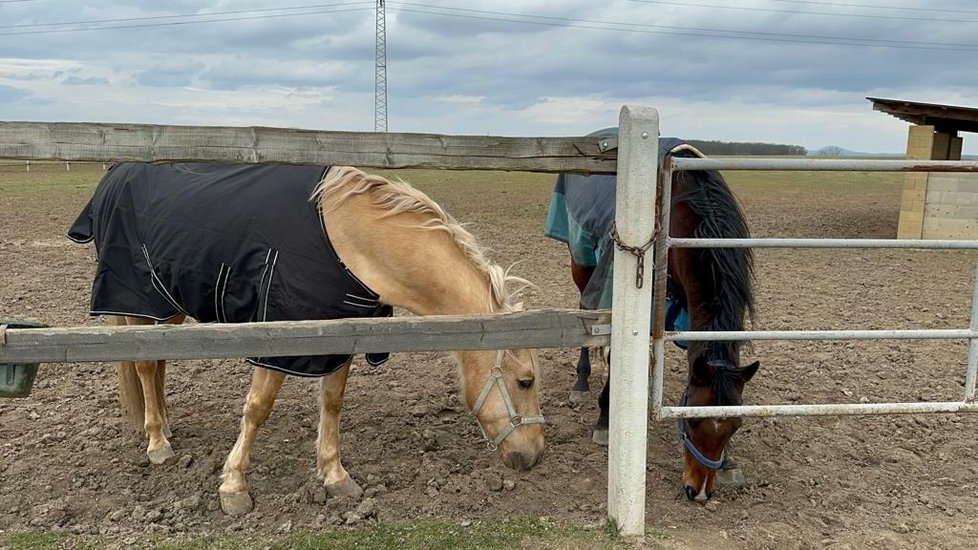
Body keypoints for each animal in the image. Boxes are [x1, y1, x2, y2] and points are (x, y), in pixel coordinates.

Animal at [68, 164, 544, 516]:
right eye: (525, 381)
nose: (535, 456)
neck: (345, 239)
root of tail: (115, 175)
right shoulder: (279, 339)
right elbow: (257, 409)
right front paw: (234, 486)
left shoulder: (340, 338)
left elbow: (332, 403)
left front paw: (335, 476)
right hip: (138, 299)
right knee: (146, 365)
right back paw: (157, 443)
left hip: (169, 302)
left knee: (159, 365)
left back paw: (165, 425)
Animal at [544, 130, 760, 504]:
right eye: (692, 422)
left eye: (735, 426)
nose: (699, 492)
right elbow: (613, 350)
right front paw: (605, 420)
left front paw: (730, 463)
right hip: (582, 261)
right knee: (586, 314)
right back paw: (581, 382)